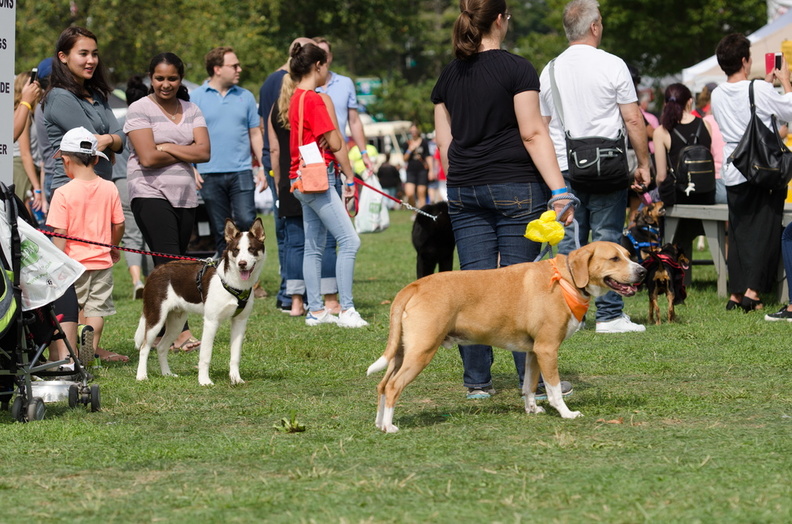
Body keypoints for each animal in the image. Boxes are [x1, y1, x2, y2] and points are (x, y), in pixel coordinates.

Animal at [135, 217, 268, 384]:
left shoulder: (240, 322)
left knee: (161, 347)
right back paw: (141, 376)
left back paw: (167, 374)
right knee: (144, 347)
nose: (242, 264)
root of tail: (156, 270)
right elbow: (205, 356)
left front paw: (236, 379)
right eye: (236, 250)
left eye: (251, 249)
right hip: (156, 318)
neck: (233, 282)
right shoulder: (211, 322)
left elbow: (235, 356)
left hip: (177, 322)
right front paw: (204, 381)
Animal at [368, 242, 648, 434]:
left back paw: (379, 423)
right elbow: (554, 389)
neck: (566, 279)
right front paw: (566, 414)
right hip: (421, 351)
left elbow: (530, 386)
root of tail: (413, 286)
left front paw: (532, 409)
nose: (643, 271)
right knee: (393, 387)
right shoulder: (548, 349)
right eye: (614, 258)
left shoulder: (534, 352)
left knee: (382, 385)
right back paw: (390, 427)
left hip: (401, 352)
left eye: (629, 255)